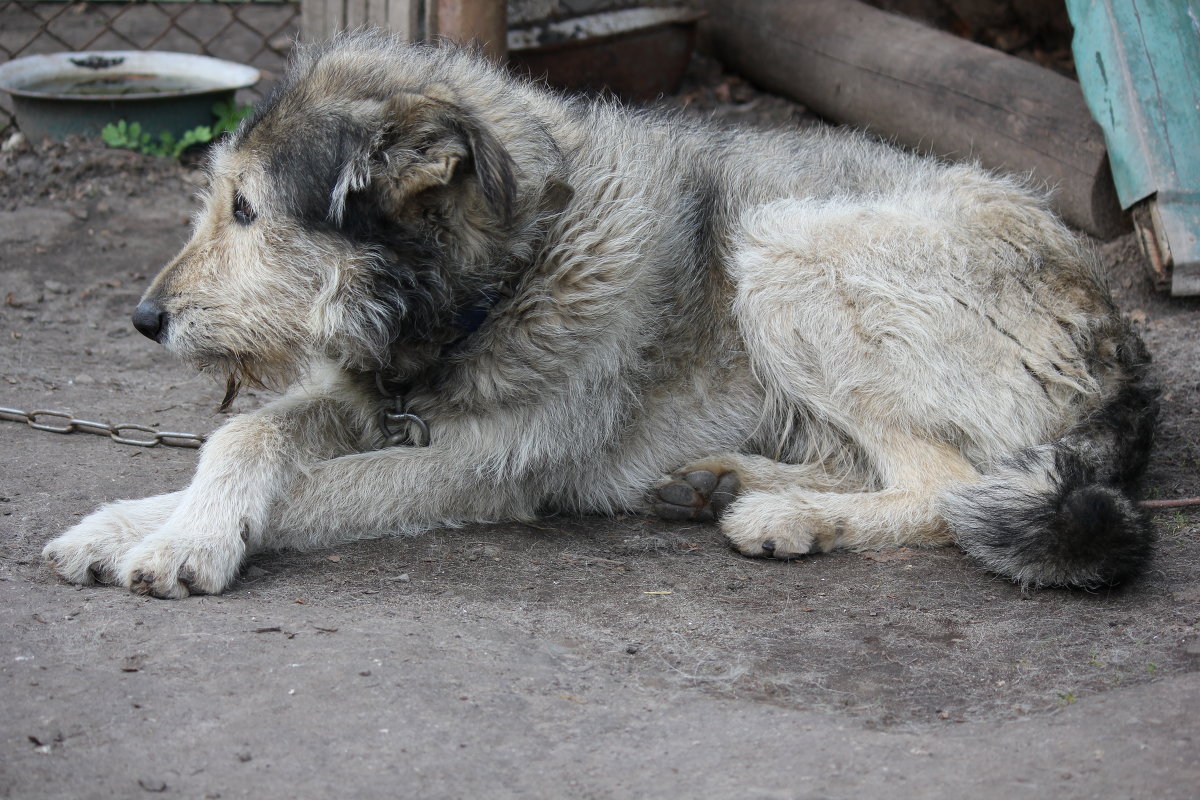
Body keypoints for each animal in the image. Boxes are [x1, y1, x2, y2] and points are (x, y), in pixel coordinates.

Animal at [44, 31, 1152, 597]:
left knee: (941, 485)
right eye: (217, 199)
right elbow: (246, 438)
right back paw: (721, 480)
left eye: (246, 211)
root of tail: (1124, 350)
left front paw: (182, 543)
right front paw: (129, 524)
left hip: (784, 243)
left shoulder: (473, 467)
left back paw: (784, 515)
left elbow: (310, 486)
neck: (504, 276)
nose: (143, 317)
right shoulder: (367, 401)